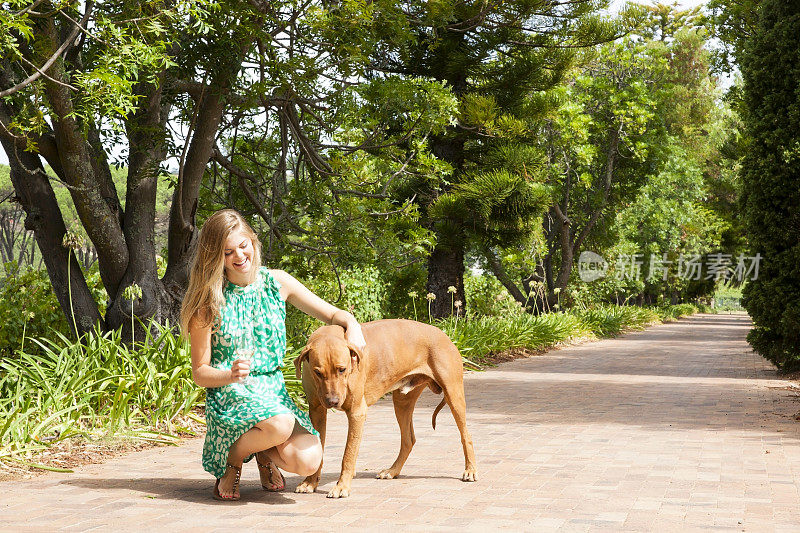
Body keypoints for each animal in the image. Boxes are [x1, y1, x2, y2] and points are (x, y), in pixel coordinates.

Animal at [296, 318, 478, 496]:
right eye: (317, 372)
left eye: (342, 369)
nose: (333, 401)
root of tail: (444, 334)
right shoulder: (317, 411)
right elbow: (319, 449)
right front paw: (310, 482)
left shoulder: (356, 413)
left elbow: (348, 454)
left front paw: (341, 487)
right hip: (402, 401)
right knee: (408, 440)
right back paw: (393, 471)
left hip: (453, 394)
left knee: (466, 435)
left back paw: (470, 470)